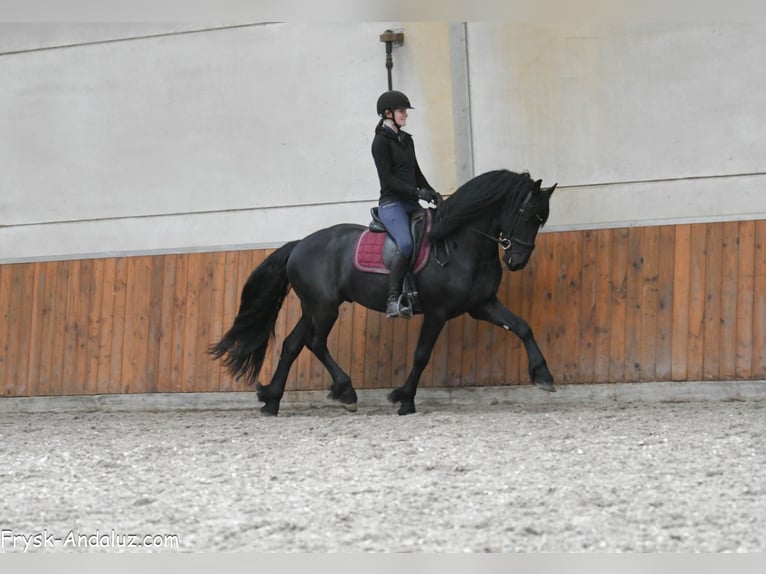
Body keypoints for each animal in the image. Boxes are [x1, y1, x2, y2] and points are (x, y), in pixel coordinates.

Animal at [210, 169, 557, 415]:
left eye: (541, 219)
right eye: (527, 213)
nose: (517, 261)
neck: (460, 241)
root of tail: (299, 245)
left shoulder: (482, 304)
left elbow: (523, 327)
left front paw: (544, 376)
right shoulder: (438, 312)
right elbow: (421, 355)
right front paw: (404, 398)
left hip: (313, 307)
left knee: (292, 344)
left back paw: (271, 402)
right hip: (325, 307)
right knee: (315, 342)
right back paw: (346, 392)